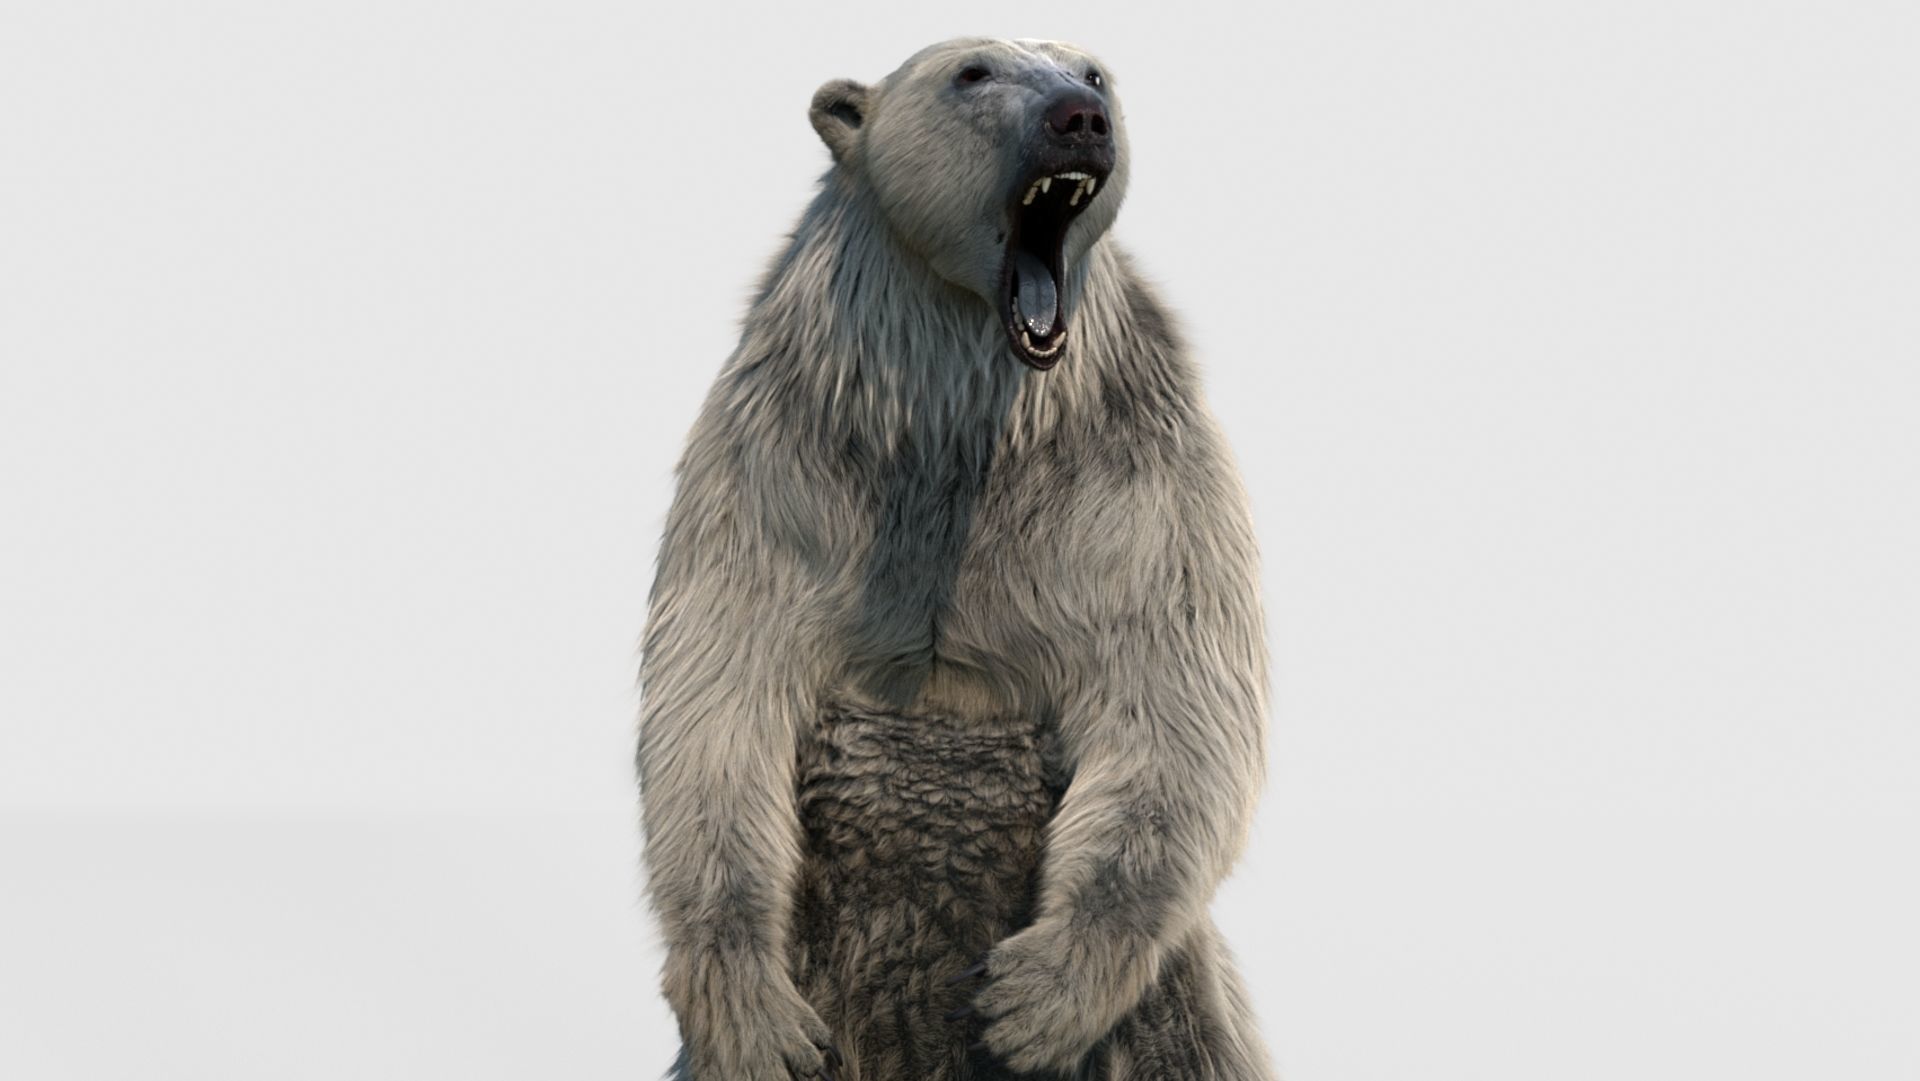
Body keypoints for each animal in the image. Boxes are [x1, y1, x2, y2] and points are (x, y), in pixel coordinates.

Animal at [638, 37, 1275, 1081]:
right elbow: (719, 689)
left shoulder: (1132, 454)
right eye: (973, 72)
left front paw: (1029, 998)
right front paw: (759, 1018)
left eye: (1093, 71)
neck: (958, 411)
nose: (1079, 117)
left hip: (1176, 1016)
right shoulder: (782, 451)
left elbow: (1176, 684)